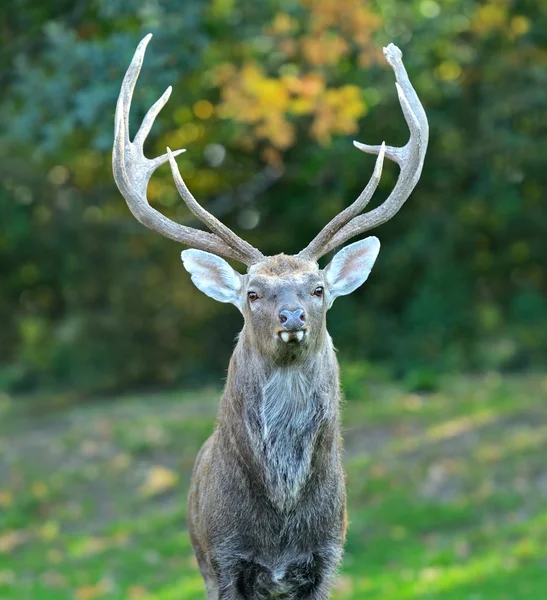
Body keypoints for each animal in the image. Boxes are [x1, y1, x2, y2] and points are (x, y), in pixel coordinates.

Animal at [111, 34, 428, 600]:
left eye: (319, 288)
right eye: (253, 293)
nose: (293, 316)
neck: (280, 521)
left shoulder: (328, 556)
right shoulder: (223, 560)